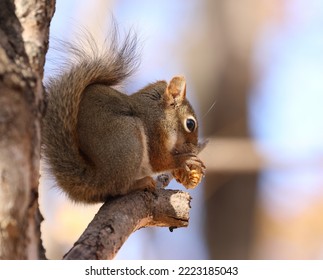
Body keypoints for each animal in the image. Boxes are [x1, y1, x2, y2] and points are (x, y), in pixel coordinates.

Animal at [42, 29, 205, 203]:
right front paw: (184, 160)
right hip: (128, 138)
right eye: (190, 124)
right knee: (117, 188)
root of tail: (98, 180)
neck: (159, 112)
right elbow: (158, 160)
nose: (194, 147)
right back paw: (139, 183)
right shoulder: (154, 128)